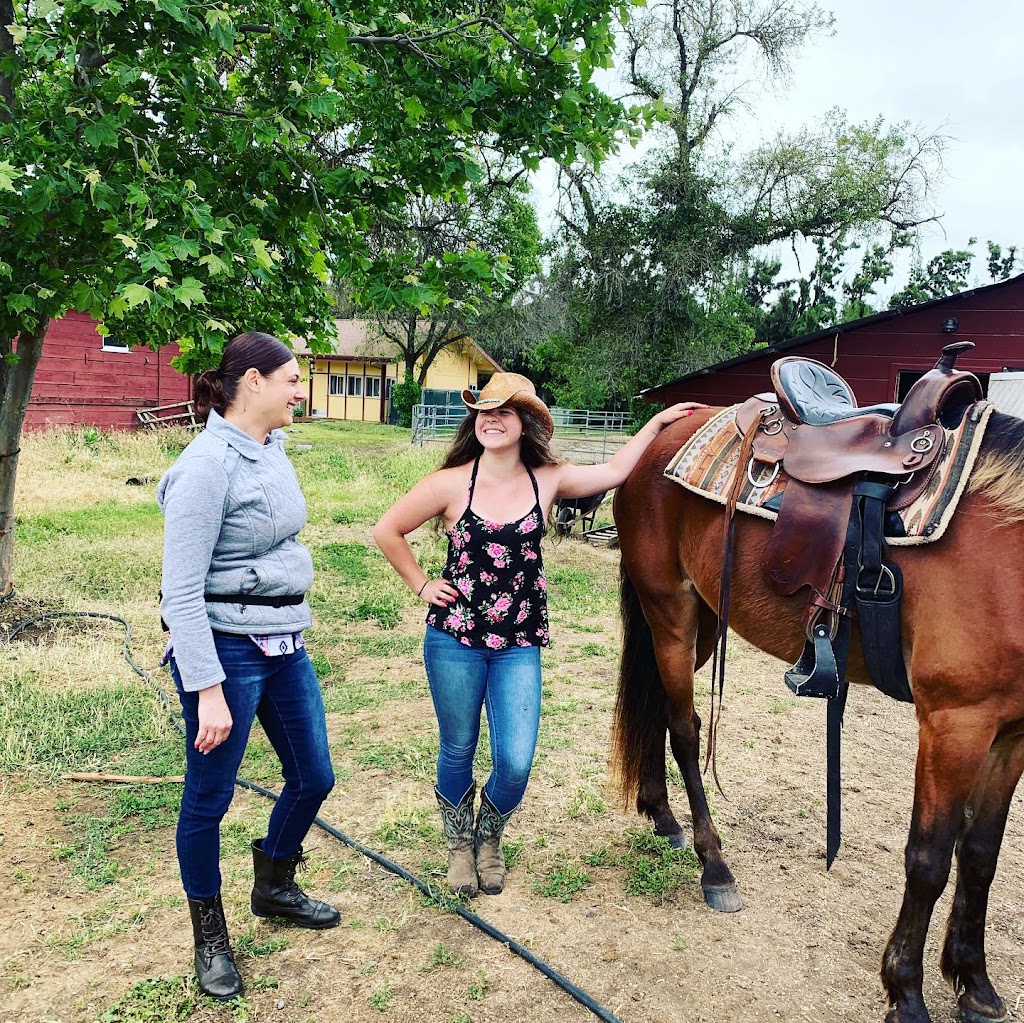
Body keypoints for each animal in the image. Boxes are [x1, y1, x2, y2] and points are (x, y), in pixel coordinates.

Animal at [610, 403, 1024, 1023]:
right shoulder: (956, 722)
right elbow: (928, 862)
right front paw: (906, 993)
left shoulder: (1011, 732)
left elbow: (980, 854)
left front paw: (974, 982)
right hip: (670, 610)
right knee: (685, 729)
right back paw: (715, 866)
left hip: (702, 618)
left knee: (660, 707)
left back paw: (662, 815)